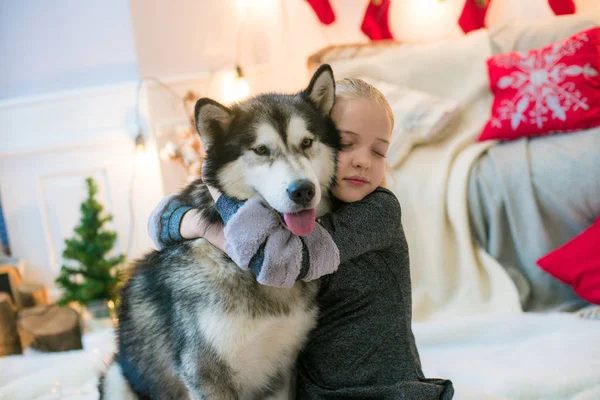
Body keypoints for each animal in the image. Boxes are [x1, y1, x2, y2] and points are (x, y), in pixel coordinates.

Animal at [99, 64, 342, 398]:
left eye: (306, 142)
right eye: (261, 149)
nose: (303, 191)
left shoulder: (282, 372)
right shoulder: (206, 374)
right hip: (115, 378)